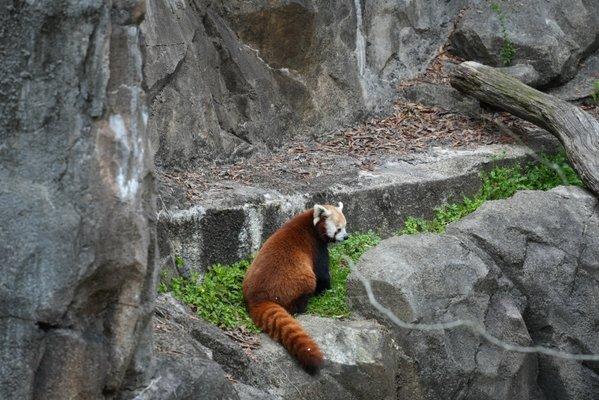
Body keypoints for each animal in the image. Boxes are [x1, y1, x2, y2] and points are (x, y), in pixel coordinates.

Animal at [243, 203, 350, 372]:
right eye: (338, 229)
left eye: (345, 226)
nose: (346, 237)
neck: (311, 223)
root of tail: (257, 297)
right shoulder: (316, 246)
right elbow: (322, 274)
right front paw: (326, 289)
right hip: (296, 279)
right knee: (307, 284)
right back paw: (302, 305)